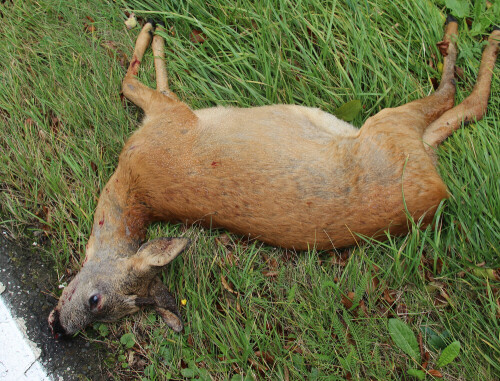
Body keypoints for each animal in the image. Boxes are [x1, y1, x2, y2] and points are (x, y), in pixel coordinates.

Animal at [48, 17, 498, 338]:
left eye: (94, 300)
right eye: (106, 316)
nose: (61, 329)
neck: (133, 186)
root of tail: (437, 192)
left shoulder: (169, 119)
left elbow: (133, 79)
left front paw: (150, 30)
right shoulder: (167, 118)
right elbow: (140, 82)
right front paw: (153, 32)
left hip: (389, 130)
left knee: (451, 95)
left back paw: (463, 35)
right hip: (398, 137)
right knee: (459, 108)